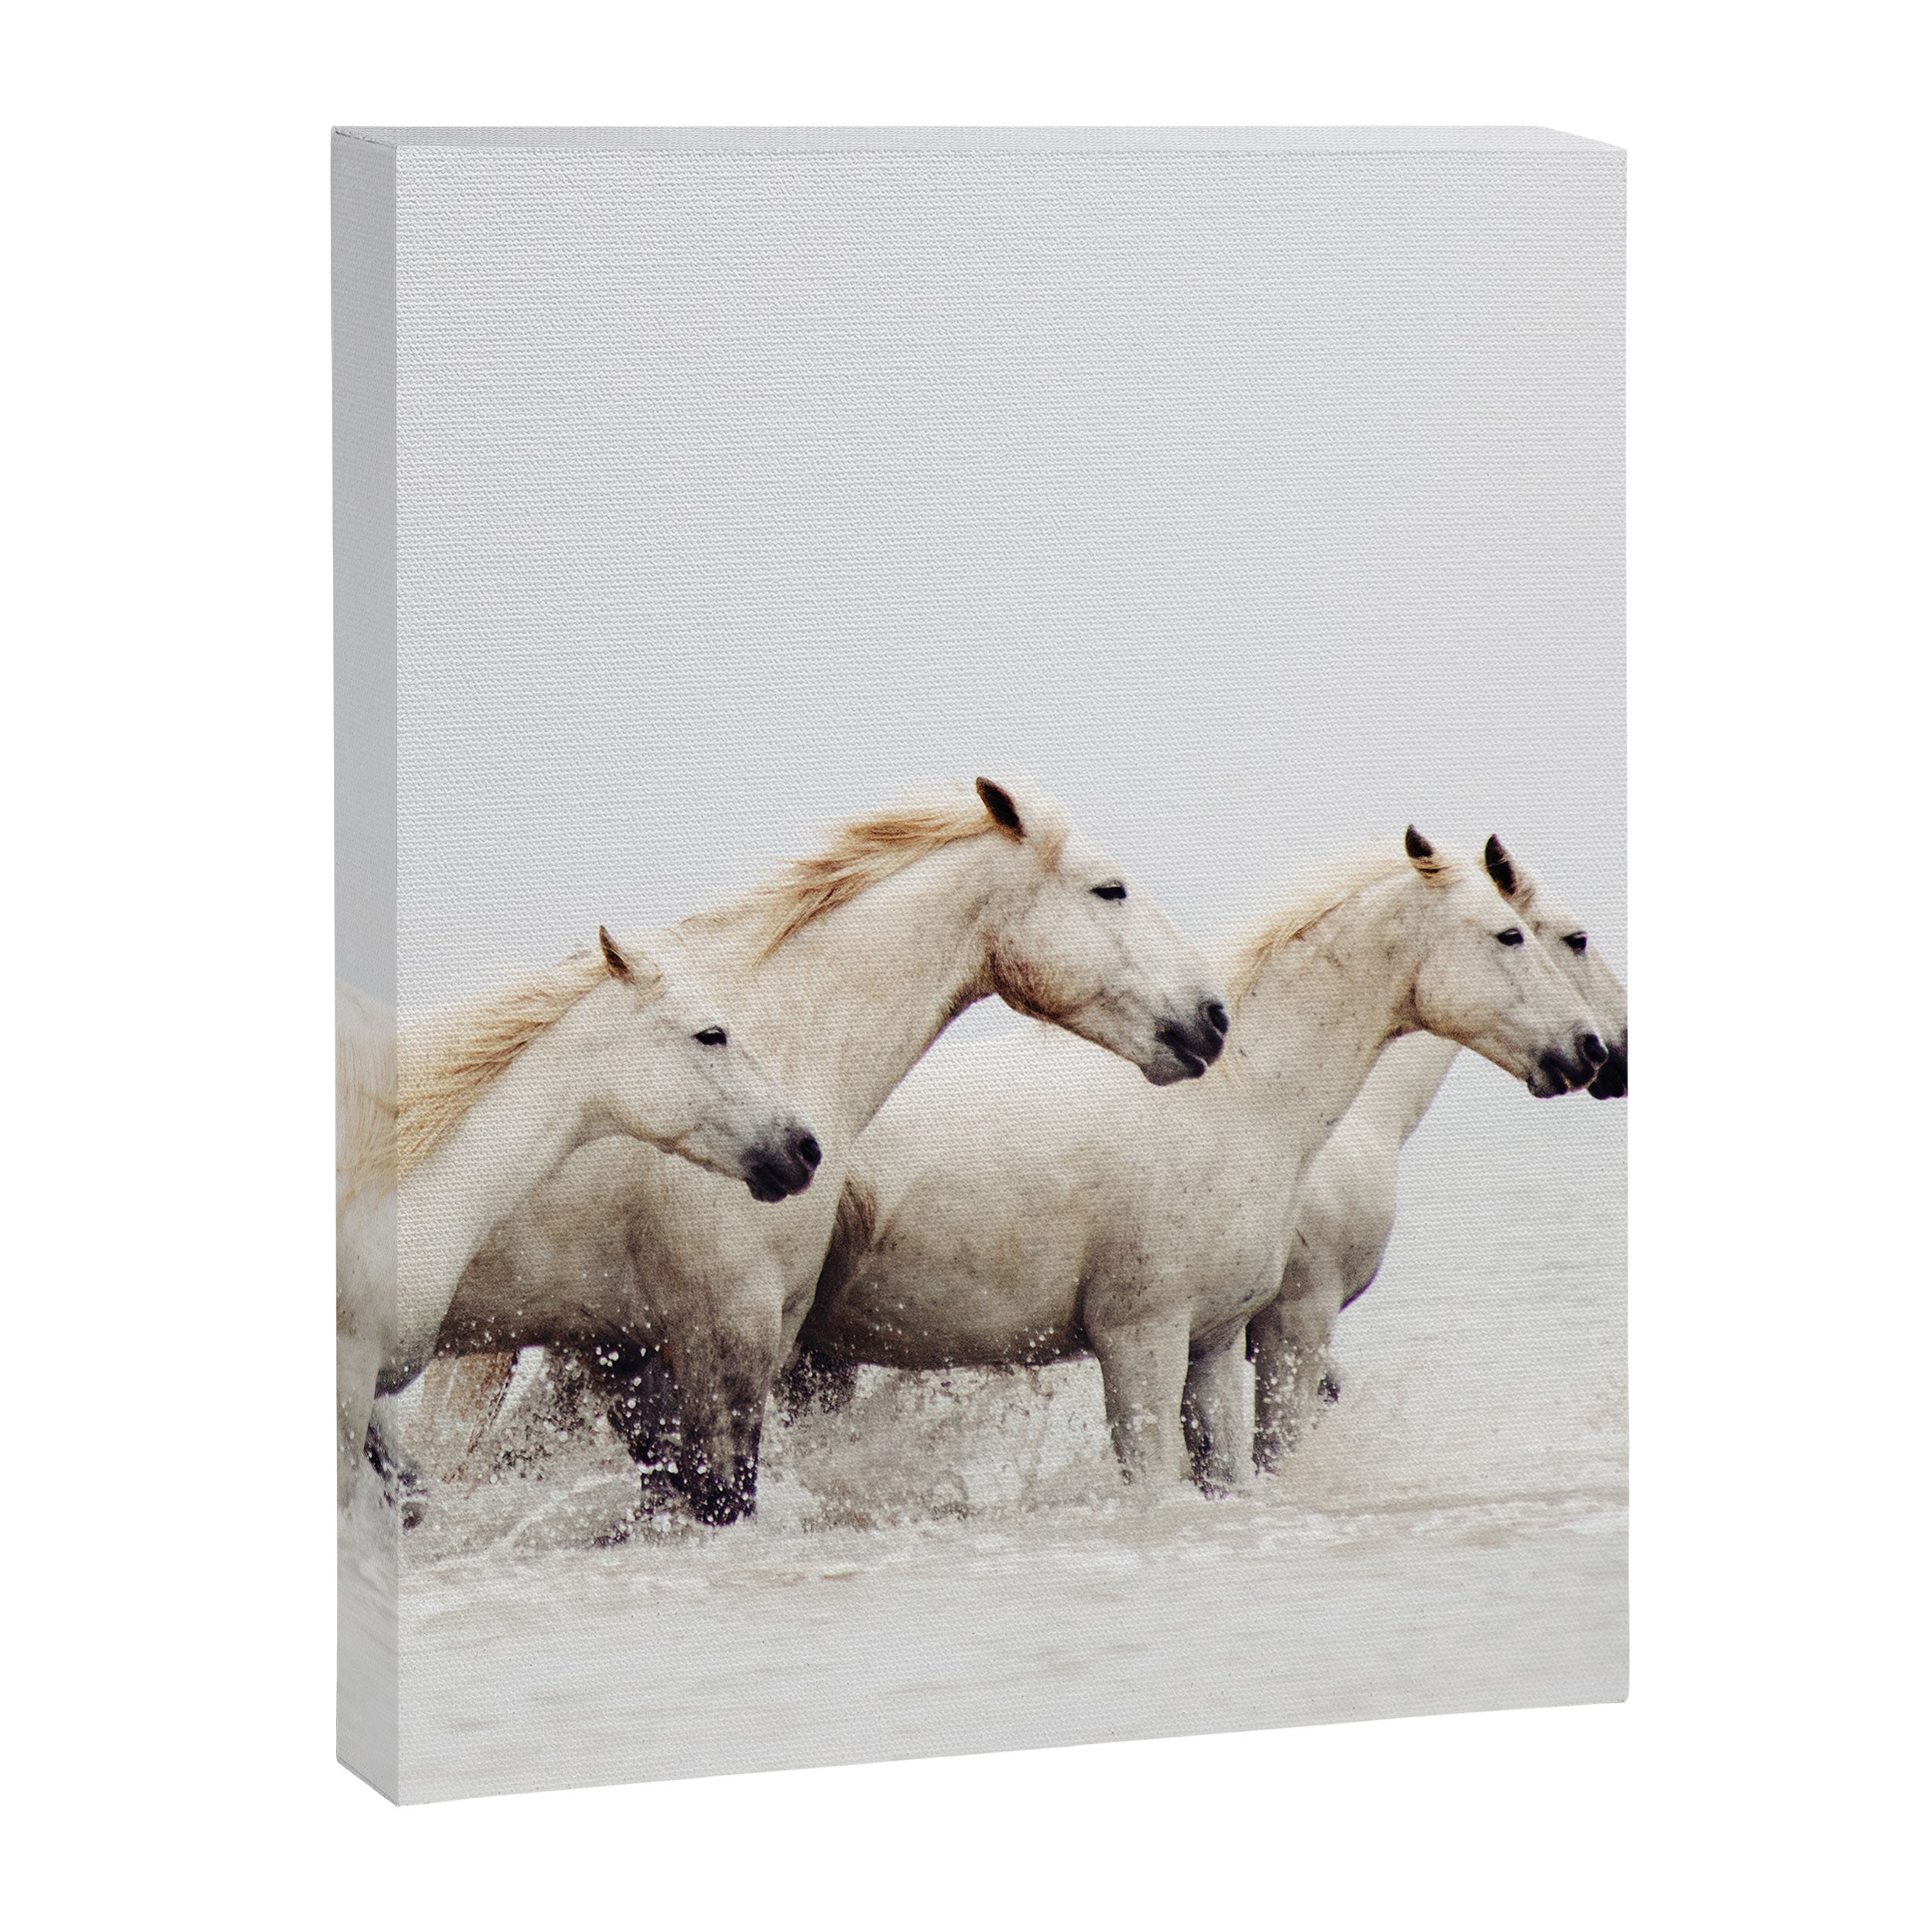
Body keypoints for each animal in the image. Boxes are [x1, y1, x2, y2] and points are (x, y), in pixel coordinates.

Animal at [415, 778, 1230, 1524]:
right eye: (1110, 888)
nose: (1213, 1018)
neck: (780, 1042)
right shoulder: (724, 1330)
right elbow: (721, 1497)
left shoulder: (659, 1347)